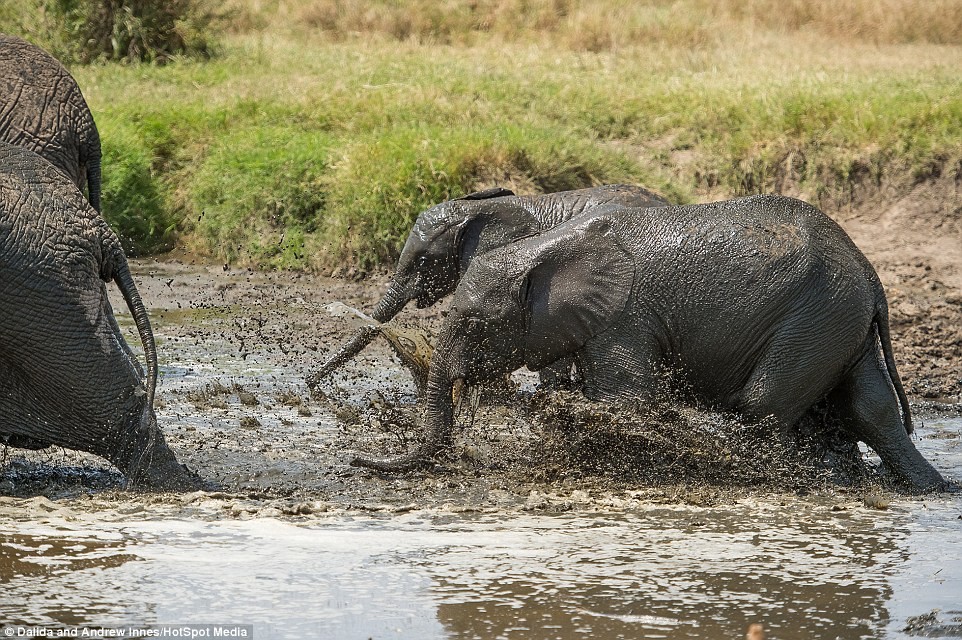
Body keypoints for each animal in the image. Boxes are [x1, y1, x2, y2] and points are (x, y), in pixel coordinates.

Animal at [350, 192, 944, 492]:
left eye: (473, 323)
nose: (360, 462)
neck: (549, 245)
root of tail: (870, 272)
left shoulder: (624, 318)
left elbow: (626, 398)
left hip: (814, 319)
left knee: (766, 406)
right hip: (839, 323)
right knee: (868, 409)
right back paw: (919, 489)